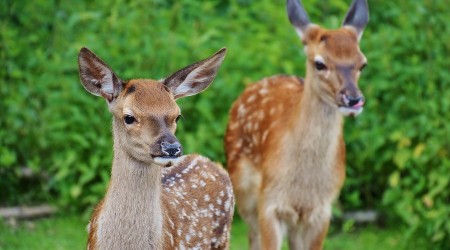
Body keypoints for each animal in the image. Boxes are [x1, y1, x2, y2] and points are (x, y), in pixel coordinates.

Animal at [225, 0, 370, 249]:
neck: (303, 186)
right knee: (252, 236)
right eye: (320, 63)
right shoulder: (270, 201)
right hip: (243, 191)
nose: (353, 99)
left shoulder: (322, 209)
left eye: (362, 64)